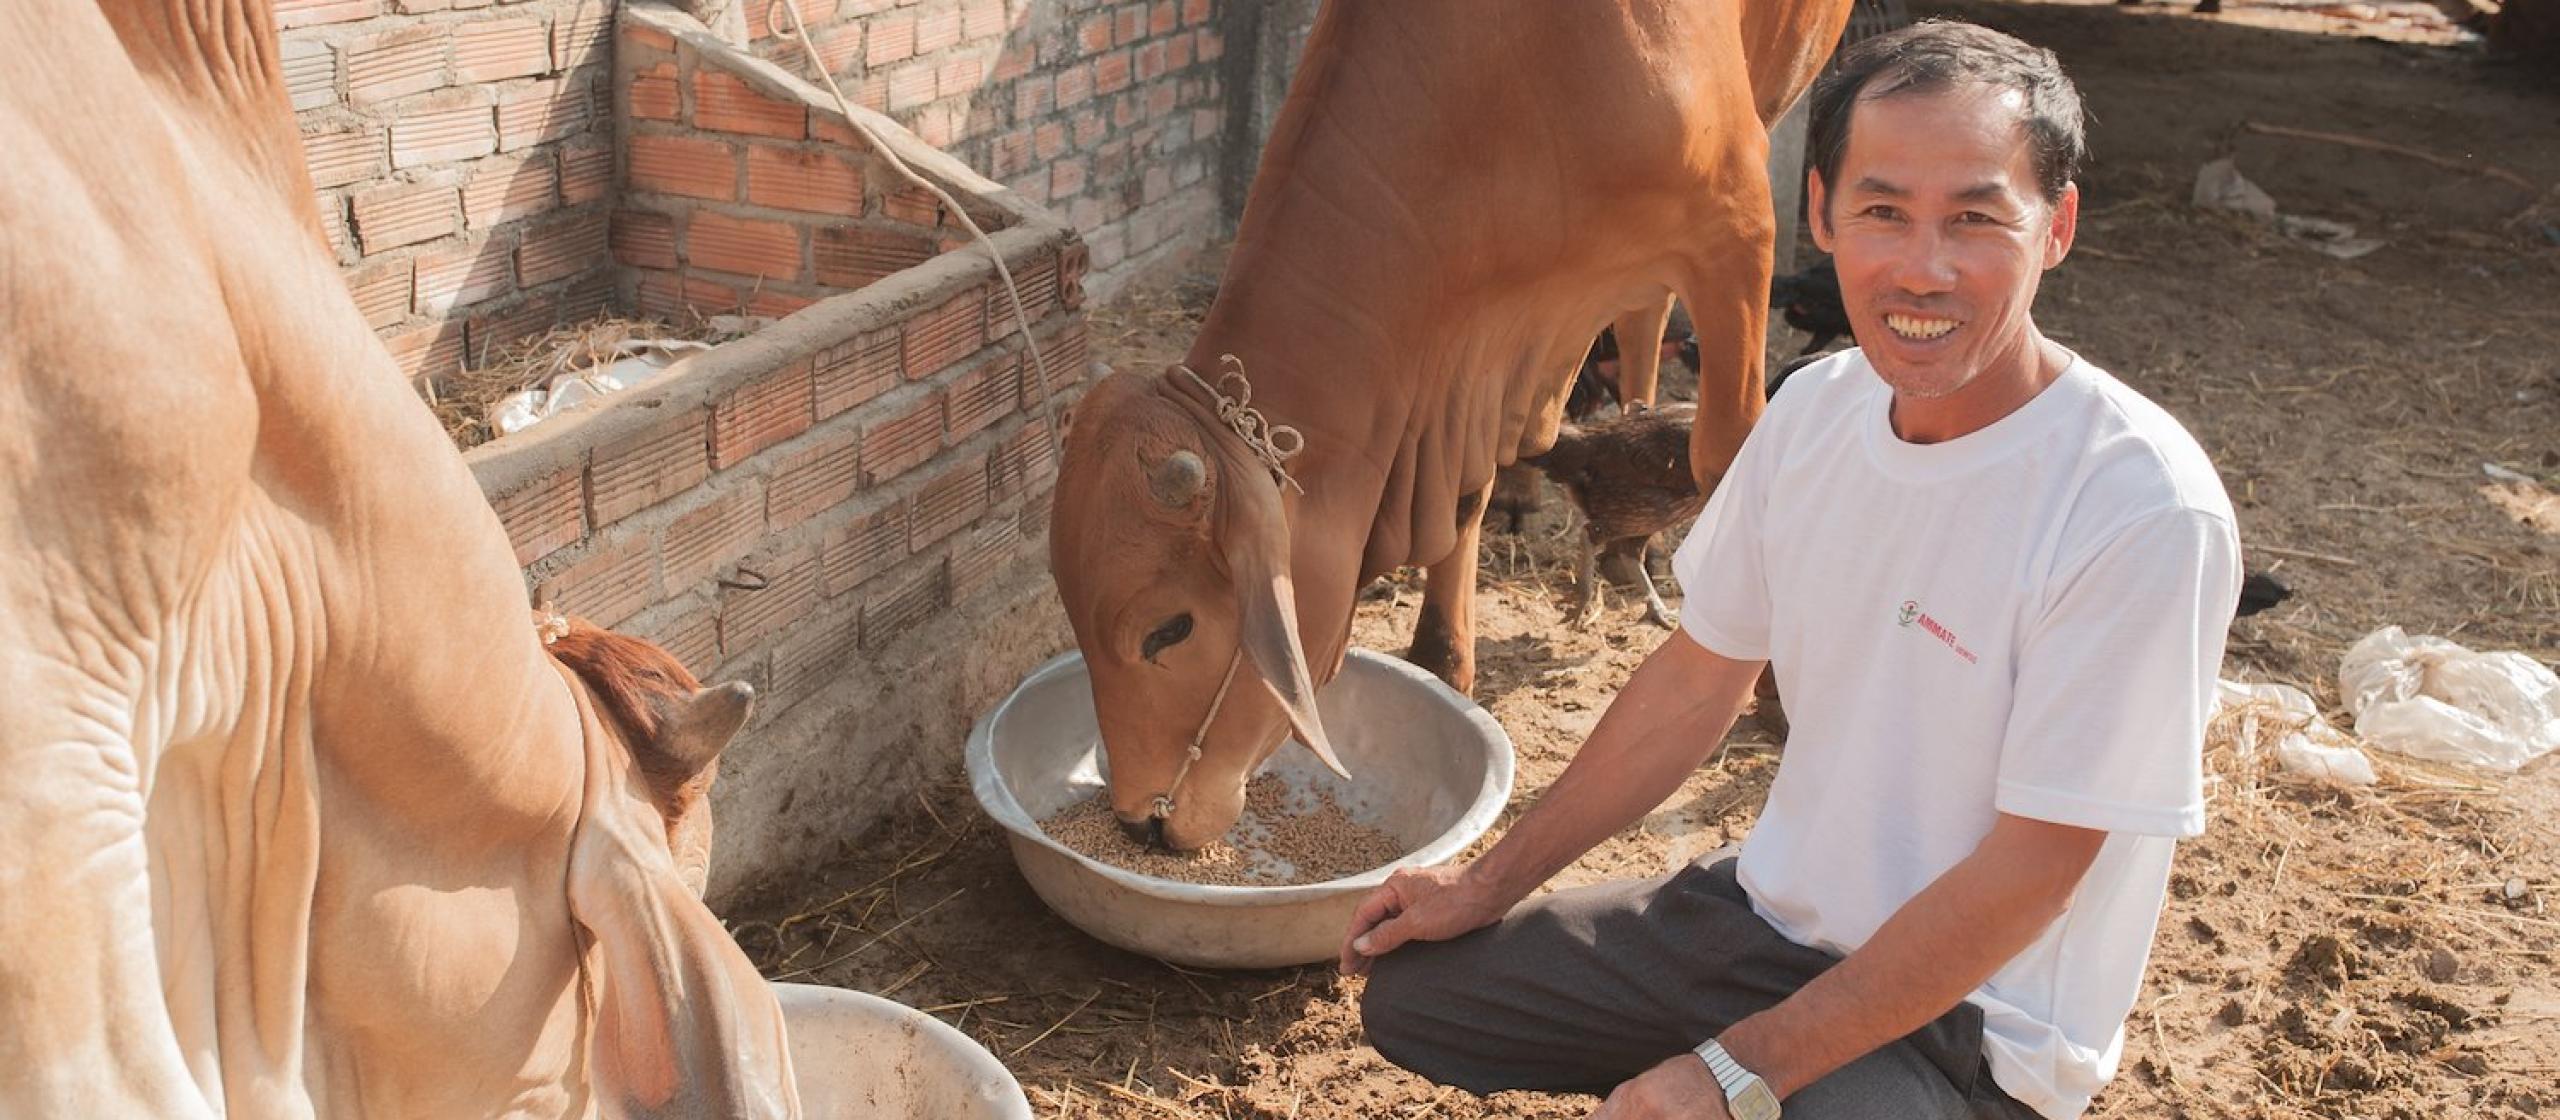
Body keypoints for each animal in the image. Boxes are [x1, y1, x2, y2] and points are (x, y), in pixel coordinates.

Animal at [1049, 0, 1853, 848]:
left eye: (1168, 630)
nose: (1139, 822)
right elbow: (1470, 490)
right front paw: (1441, 659)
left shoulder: (1739, 227)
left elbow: (1730, 457)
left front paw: (1773, 692)